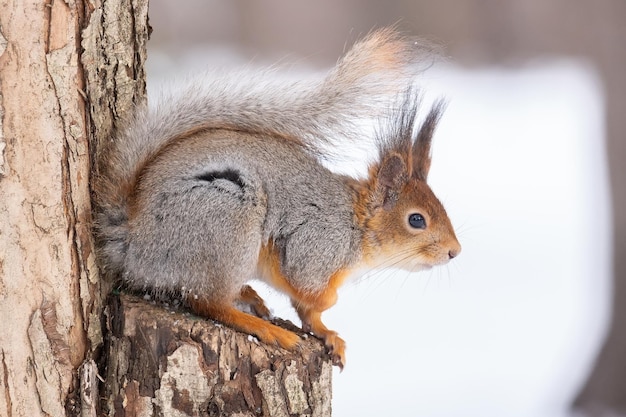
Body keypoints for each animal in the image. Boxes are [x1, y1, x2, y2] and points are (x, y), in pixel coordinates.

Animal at [95, 28, 460, 368]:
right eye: (416, 219)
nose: (454, 252)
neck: (357, 224)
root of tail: (134, 242)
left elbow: (310, 315)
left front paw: (329, 335)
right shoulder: (315, 246)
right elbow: (308, 290)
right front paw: (328, 304)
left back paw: (250, 296)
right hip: (227, 223)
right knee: (207, 302)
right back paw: (265, 328)